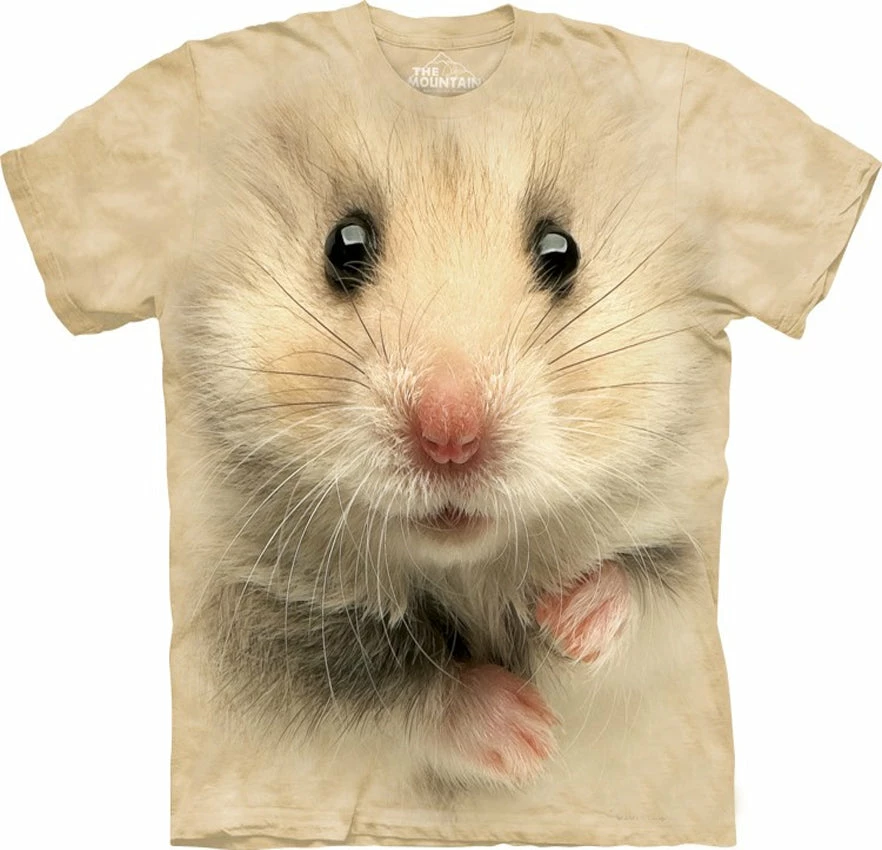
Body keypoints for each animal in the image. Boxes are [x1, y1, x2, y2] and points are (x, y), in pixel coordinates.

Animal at [164, 86, 714, 792]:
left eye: (561, 249)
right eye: (344, 246)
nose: (450, 437)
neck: (465, 568)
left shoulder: (686, 570)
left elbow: (652, 591)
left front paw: (570, 624)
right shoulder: (250, 642)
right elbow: (385, 689)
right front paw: (528, 737)